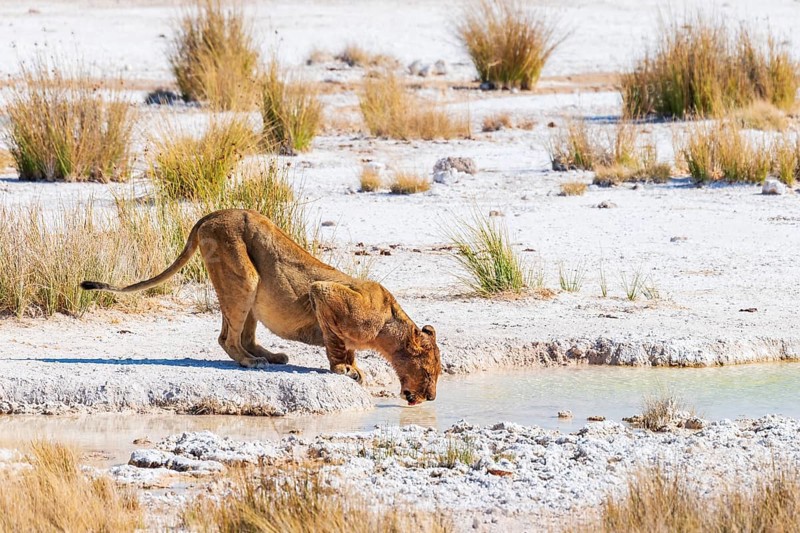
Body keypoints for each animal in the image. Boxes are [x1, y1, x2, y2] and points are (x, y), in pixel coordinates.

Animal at [81, 209, 441, 405]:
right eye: (430, 372)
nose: (434, 397)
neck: (389, 327)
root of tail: (209, 216)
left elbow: (343, 345)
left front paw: (351, 365)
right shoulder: (323, 293)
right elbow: (336, 344)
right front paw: (345, 369)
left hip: (250, 289)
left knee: (244, 336)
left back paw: (271, 356)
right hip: (244, 277)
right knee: (227, 338)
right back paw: (250, 362)